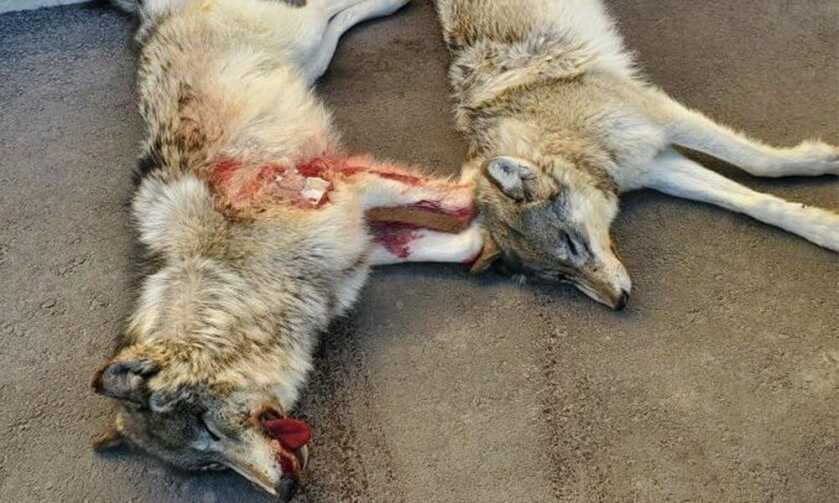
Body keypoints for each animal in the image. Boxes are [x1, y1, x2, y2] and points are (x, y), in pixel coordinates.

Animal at [90, 0, 488, 499]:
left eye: (207, 426)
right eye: (211, 466)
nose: (285, 489)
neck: (240, 282)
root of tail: (151, 18)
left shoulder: (348, 192)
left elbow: (458, 199)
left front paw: (489, 179)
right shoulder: (360, 247)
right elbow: (452, 241)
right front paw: (487, 237)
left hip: (301, 35)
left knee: (324, 10)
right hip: (311, 53)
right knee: (337, 23)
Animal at [436, 0, 839, 309]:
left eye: (572, 243)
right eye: (561, 277)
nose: (619, 303)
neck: (562, 135)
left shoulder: (666, 117)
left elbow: (760, 164)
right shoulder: (657, 166)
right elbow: (755, 203)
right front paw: (825, 228)